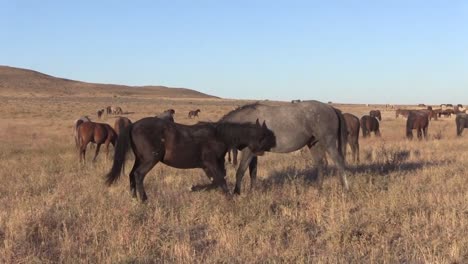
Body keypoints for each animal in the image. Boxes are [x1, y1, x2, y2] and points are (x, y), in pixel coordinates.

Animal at [104, 116, 276, 201]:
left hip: (139, 159)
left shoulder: (209, 166)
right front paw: (230, 199)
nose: (275, 143)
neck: (220, 136)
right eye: (267, 135)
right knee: (139, 175)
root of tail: (133, 125)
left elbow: (216, 181)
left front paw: (194, 188)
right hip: (149, 160)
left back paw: (134, 198)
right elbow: (221, 181)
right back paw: (144, 200)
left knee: (131, 174)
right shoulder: (210, 163)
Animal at [218, 100, 348, 194]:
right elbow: (252, 173)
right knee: (321, 164)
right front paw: (252, 192)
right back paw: (318, 189)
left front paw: (236, 193)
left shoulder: (248, 152)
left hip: (329, 143)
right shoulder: (253, 153)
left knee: (339, 162)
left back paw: (345, 188)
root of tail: (331, 108)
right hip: (314, 145)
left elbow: (240, 172)